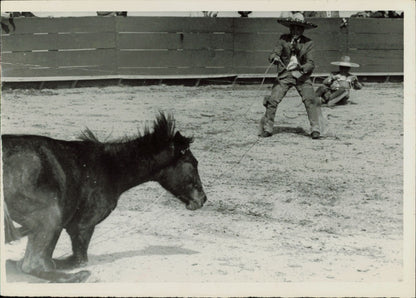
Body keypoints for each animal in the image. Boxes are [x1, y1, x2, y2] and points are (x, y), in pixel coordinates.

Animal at [2, 112, 206, 282]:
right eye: (192, 163)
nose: (202, 199)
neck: (108, 167)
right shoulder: (82, 227)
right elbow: (77, 260)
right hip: (51, 216)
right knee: (33, 264)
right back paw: (79, 276)